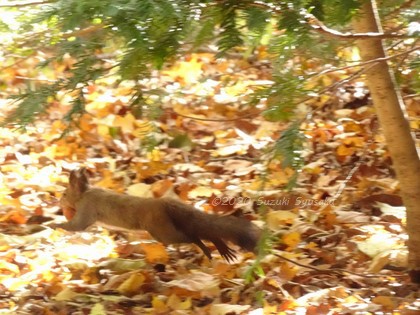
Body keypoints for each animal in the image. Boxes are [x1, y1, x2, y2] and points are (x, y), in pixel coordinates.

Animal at [54, 169, 260, 262]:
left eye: (64, 194)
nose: (58, 203)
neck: (85, 194)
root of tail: (165, 203)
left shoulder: (87, 209)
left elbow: (77, 226)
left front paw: (55, 225)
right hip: (172, 225)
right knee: (201, 231)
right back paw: (217, 249)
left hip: (162, 231)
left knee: (193, 236)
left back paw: (208, 248)